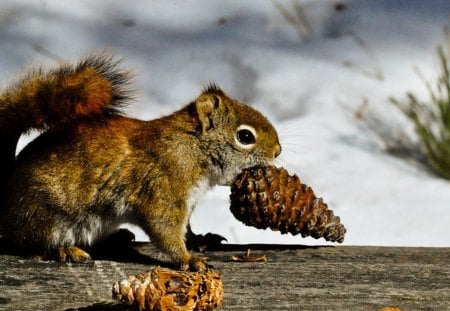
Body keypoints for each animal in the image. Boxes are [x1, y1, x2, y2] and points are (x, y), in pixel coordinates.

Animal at [0, 53, 282, 270]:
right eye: (245, 136)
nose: (278, 151)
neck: (192, 149)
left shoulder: (186, 201)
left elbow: (186, 230)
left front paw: (201, 239)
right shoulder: (162, 188)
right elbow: (165, 230)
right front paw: (188, 259)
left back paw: (118, 237)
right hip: (44, 216)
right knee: (34, 243)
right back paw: (66, 250)